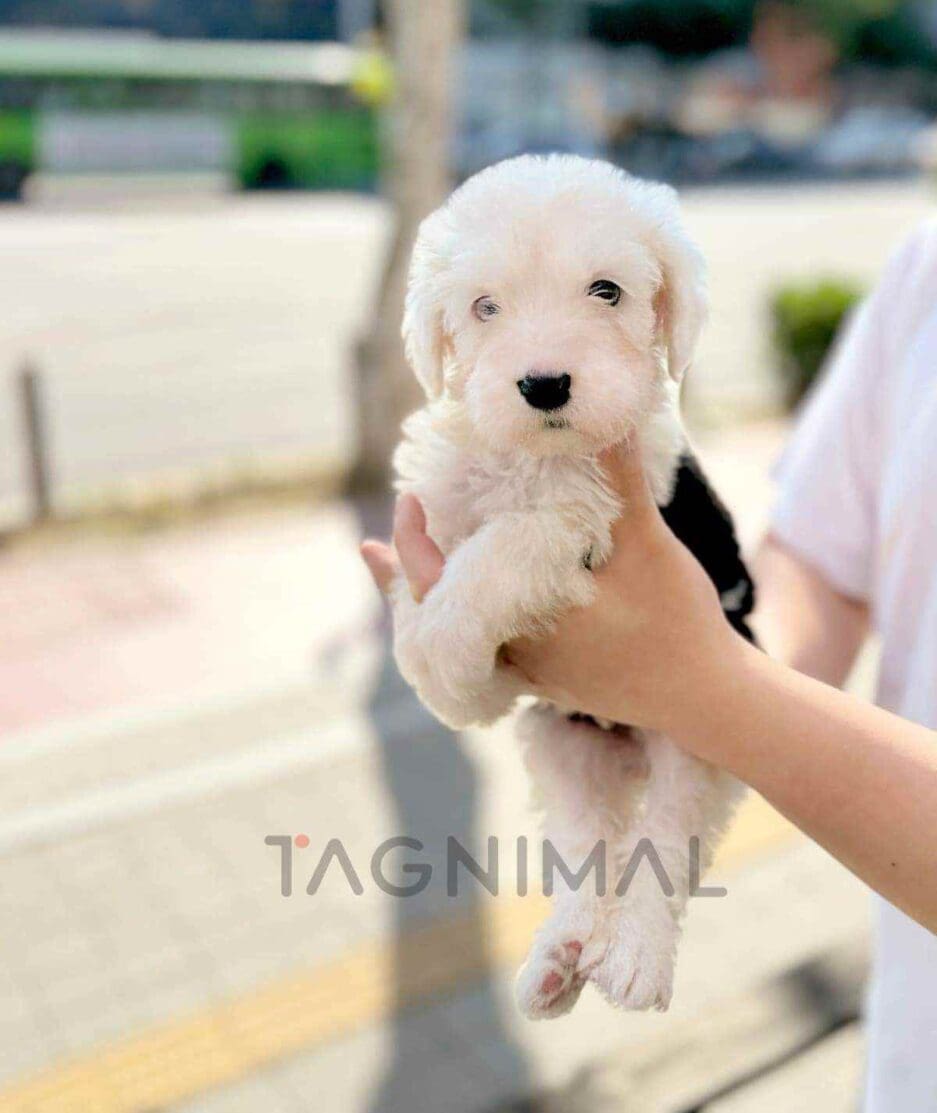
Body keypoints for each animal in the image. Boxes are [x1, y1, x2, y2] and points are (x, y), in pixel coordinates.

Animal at [388, 154, 755, 1019]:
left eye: (606, 291)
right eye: (484, 306)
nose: (544, 384)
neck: (528, 457)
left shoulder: (579, 519)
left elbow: (495, 553)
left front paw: (446, 658)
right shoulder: (437, 505)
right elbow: (418, 599)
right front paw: (452, 683)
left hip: (700, 737)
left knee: (665, 846)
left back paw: (635, 958)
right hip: (561, 745)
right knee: (591, 850)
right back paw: (560, 958)